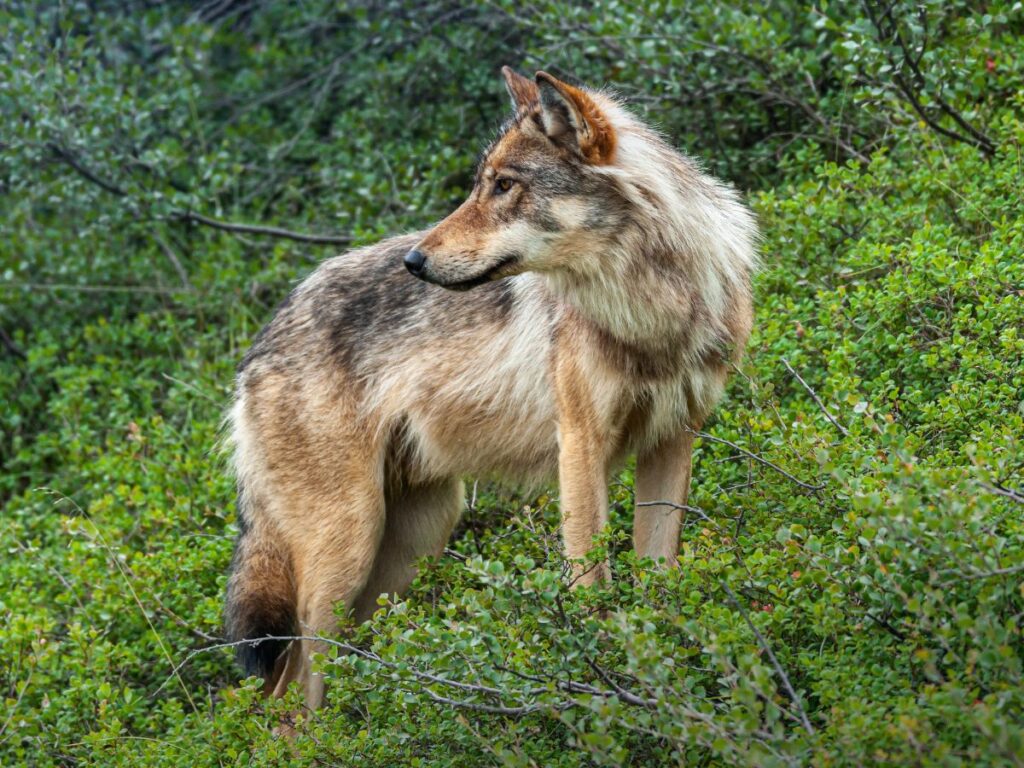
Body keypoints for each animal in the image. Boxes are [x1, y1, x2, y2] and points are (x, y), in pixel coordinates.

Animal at [226, 67, 753, 708]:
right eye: (482, 185)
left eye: (504, 185)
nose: (413, 260)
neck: (651, 310)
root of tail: (258, 344)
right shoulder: (579, 446)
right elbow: (593, 588)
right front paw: (607, 686)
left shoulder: (674, 440)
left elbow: (660, 578)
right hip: (345, 551)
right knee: (289, 692)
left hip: (412, 543)